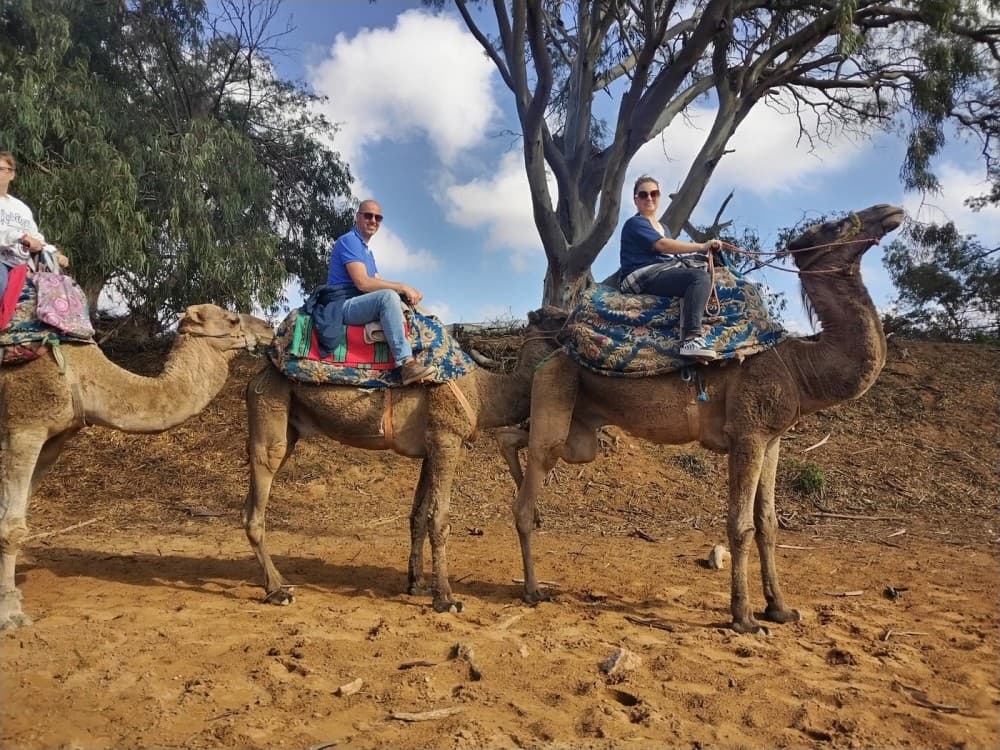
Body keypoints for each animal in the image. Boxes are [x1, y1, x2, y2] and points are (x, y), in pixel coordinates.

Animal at [0, 304, 274, 630]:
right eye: (231, 319)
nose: (269, 329)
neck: (83, 378)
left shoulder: (54, 441)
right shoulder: (25, 428)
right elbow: (12, 525)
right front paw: (10, 614)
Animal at [242, 307, 567, 613]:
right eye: (559, 319)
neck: (484, 393)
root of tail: (256, 377)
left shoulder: (429, 449)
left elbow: (418, 516)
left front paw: (417, 584)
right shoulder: (446, 439)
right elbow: (439, 519)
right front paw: (446, 598)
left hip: (289, 428)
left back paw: (281, 582)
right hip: (270, 407)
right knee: (259, 493)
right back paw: (277, 591)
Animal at [510, 204, 905, 634]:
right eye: (834, 225)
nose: (889, 211)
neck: (798, 367)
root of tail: (551, 336)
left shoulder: (772, 439)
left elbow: (768, 523)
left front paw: (780, 609)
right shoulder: (747, 433)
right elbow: (741, 525)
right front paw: (744, 618)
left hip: (581, 431)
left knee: (524, 441)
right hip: (555, 383)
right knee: (530, 482)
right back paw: (533, 588)